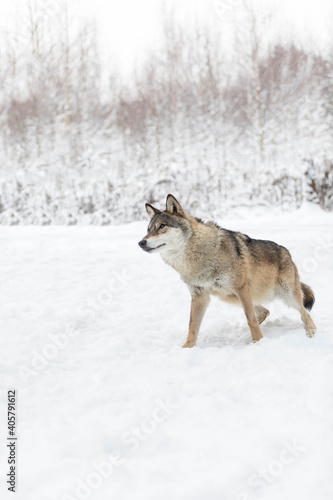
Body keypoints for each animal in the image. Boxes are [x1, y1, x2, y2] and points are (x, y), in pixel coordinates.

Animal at [138, 195, 316, 348]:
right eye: (148, 229)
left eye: (162, 226)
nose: (141, 242)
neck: (196, 257)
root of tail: (286, 252)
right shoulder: (199, 296)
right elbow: (192, 327)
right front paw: (186, 349)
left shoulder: (240, 287)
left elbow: (250, 319)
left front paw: (257, 343)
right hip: (231, 297)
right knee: (265, 311)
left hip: (285, 295)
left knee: (304, 314)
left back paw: (311, 332)